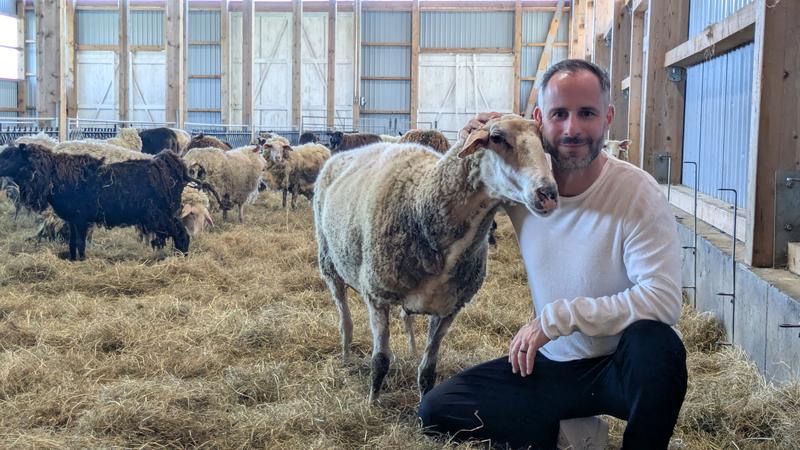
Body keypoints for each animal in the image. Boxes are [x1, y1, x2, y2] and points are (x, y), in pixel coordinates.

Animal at [0, 144, 197, 260]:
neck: (56, 176)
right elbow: (73, 243)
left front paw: (82, 261)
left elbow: (80, 243)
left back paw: (181, 257)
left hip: (160, 215)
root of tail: (171, 167)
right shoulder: (73, 219)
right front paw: (74, 260)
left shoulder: (80, 218)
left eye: (9, 156)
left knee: (181, 233)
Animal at [314, 114, 558, 401]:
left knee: (405, 318)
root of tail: (343, 154)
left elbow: (428, 371)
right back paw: (345, 354)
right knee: (344, 316)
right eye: (497, 137)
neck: (421, 204)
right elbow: (380, 361)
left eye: (542, 141)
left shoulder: (448, 309)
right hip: (328, 261)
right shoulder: (377, 296)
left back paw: (410, 350)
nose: (548, 194)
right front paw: (372, 402)